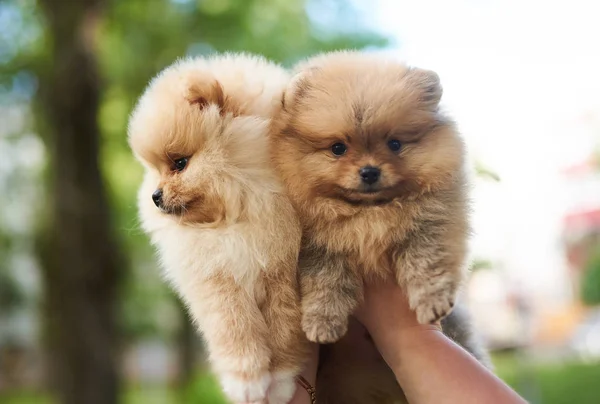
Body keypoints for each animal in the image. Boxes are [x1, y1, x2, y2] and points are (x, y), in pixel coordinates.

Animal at [131, 54, 310, 404]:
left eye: (180, 163)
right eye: (156, 170)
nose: (155, 196)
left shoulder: (283, 272)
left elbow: (284, 329)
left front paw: (281, 381)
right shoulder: (216, 279)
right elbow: (235, 328)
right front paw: (246, 382)